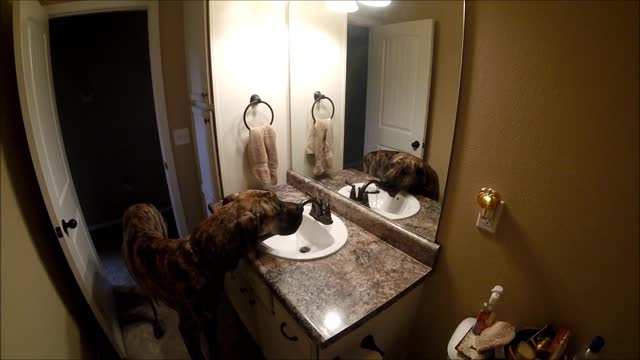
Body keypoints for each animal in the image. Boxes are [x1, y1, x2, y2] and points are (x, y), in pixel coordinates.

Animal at [125, 190, 304, 358]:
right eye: (278, 208)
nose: (301, 207)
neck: (200, 257)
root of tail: (136, 205)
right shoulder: (189, 328)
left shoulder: (210, 318)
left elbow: (213, 344)